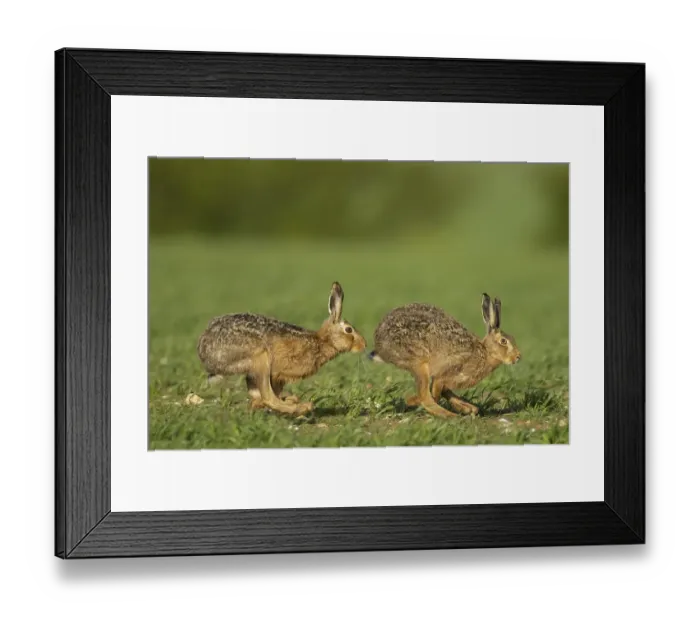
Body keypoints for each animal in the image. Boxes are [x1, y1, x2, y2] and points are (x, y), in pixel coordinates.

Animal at [197, 282, 367, 415]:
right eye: (349, 330)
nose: (364, 345)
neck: (322, 341)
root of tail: (204, 351)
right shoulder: (277, 373)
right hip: (260, 358)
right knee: (268, 397)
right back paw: (303, 407)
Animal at [369, 293, 521, 418]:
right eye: (504, 341)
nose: (518, 357)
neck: (485, 352)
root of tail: (379, 343)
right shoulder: (447, 371)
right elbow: (436, 392)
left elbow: (446, 392)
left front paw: (469, 408)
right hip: (419, 363)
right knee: (425, 396)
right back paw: (446, 414)